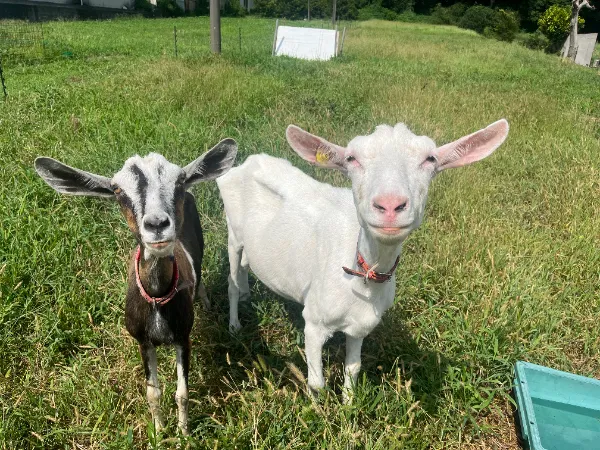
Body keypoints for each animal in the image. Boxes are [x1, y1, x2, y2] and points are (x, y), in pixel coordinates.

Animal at [34, 139, 237, 434]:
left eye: (179, 180)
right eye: (117, 190)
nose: (157, 225)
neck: (157, 298)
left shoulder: (182, 338)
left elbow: (182, 394)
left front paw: (183, 434)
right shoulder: (143, 341)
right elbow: (153, 393)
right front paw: (160, 432)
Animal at [217, 121, 508, 400]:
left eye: (430, 159)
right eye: (351, 159)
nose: (389, 205)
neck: (361, 273)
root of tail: (247, 162)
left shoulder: (360, 326)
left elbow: (353, 368)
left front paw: (348, 404)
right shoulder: (314, 321)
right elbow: (316, 382)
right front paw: (318, 410)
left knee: (245, 266)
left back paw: (246, 294)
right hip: (233, 233)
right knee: (231, 280)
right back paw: (234, 325)